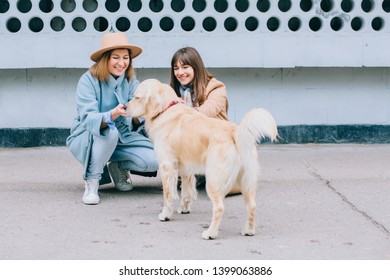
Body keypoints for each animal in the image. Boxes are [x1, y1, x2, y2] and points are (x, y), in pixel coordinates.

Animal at [125, 78, 278, 238]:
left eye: (136, 97)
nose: (124, 107)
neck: (166, 110)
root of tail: (235, 132)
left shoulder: (167, 166)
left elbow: (168, 195)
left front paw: (165, 215)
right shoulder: (185, 168)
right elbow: (186, 191)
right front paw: (184, 208)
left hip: (214, 180)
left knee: (219, 208)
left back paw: (210, 233)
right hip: (247, 181)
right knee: (252, 205)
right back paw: (248, 230)